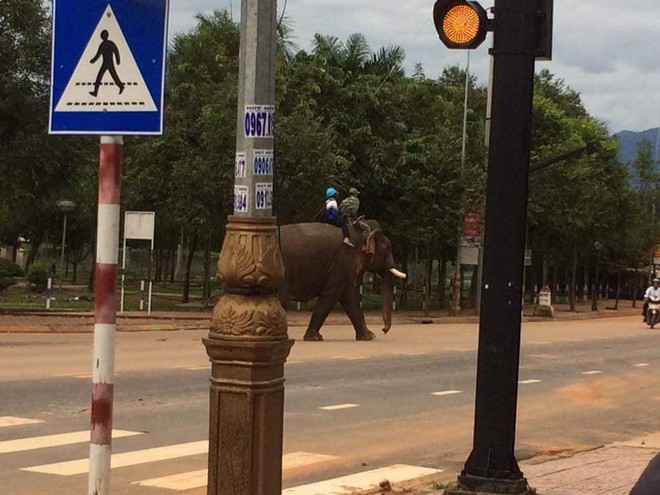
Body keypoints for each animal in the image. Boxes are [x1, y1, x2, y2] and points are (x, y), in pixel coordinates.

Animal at [276, 222, 404, 340]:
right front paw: (315, 338)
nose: (384, 329)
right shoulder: (342, 263)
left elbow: (350, 297)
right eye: (387, 250)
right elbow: (331, 295)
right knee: (282, 300)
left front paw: (369, 337)